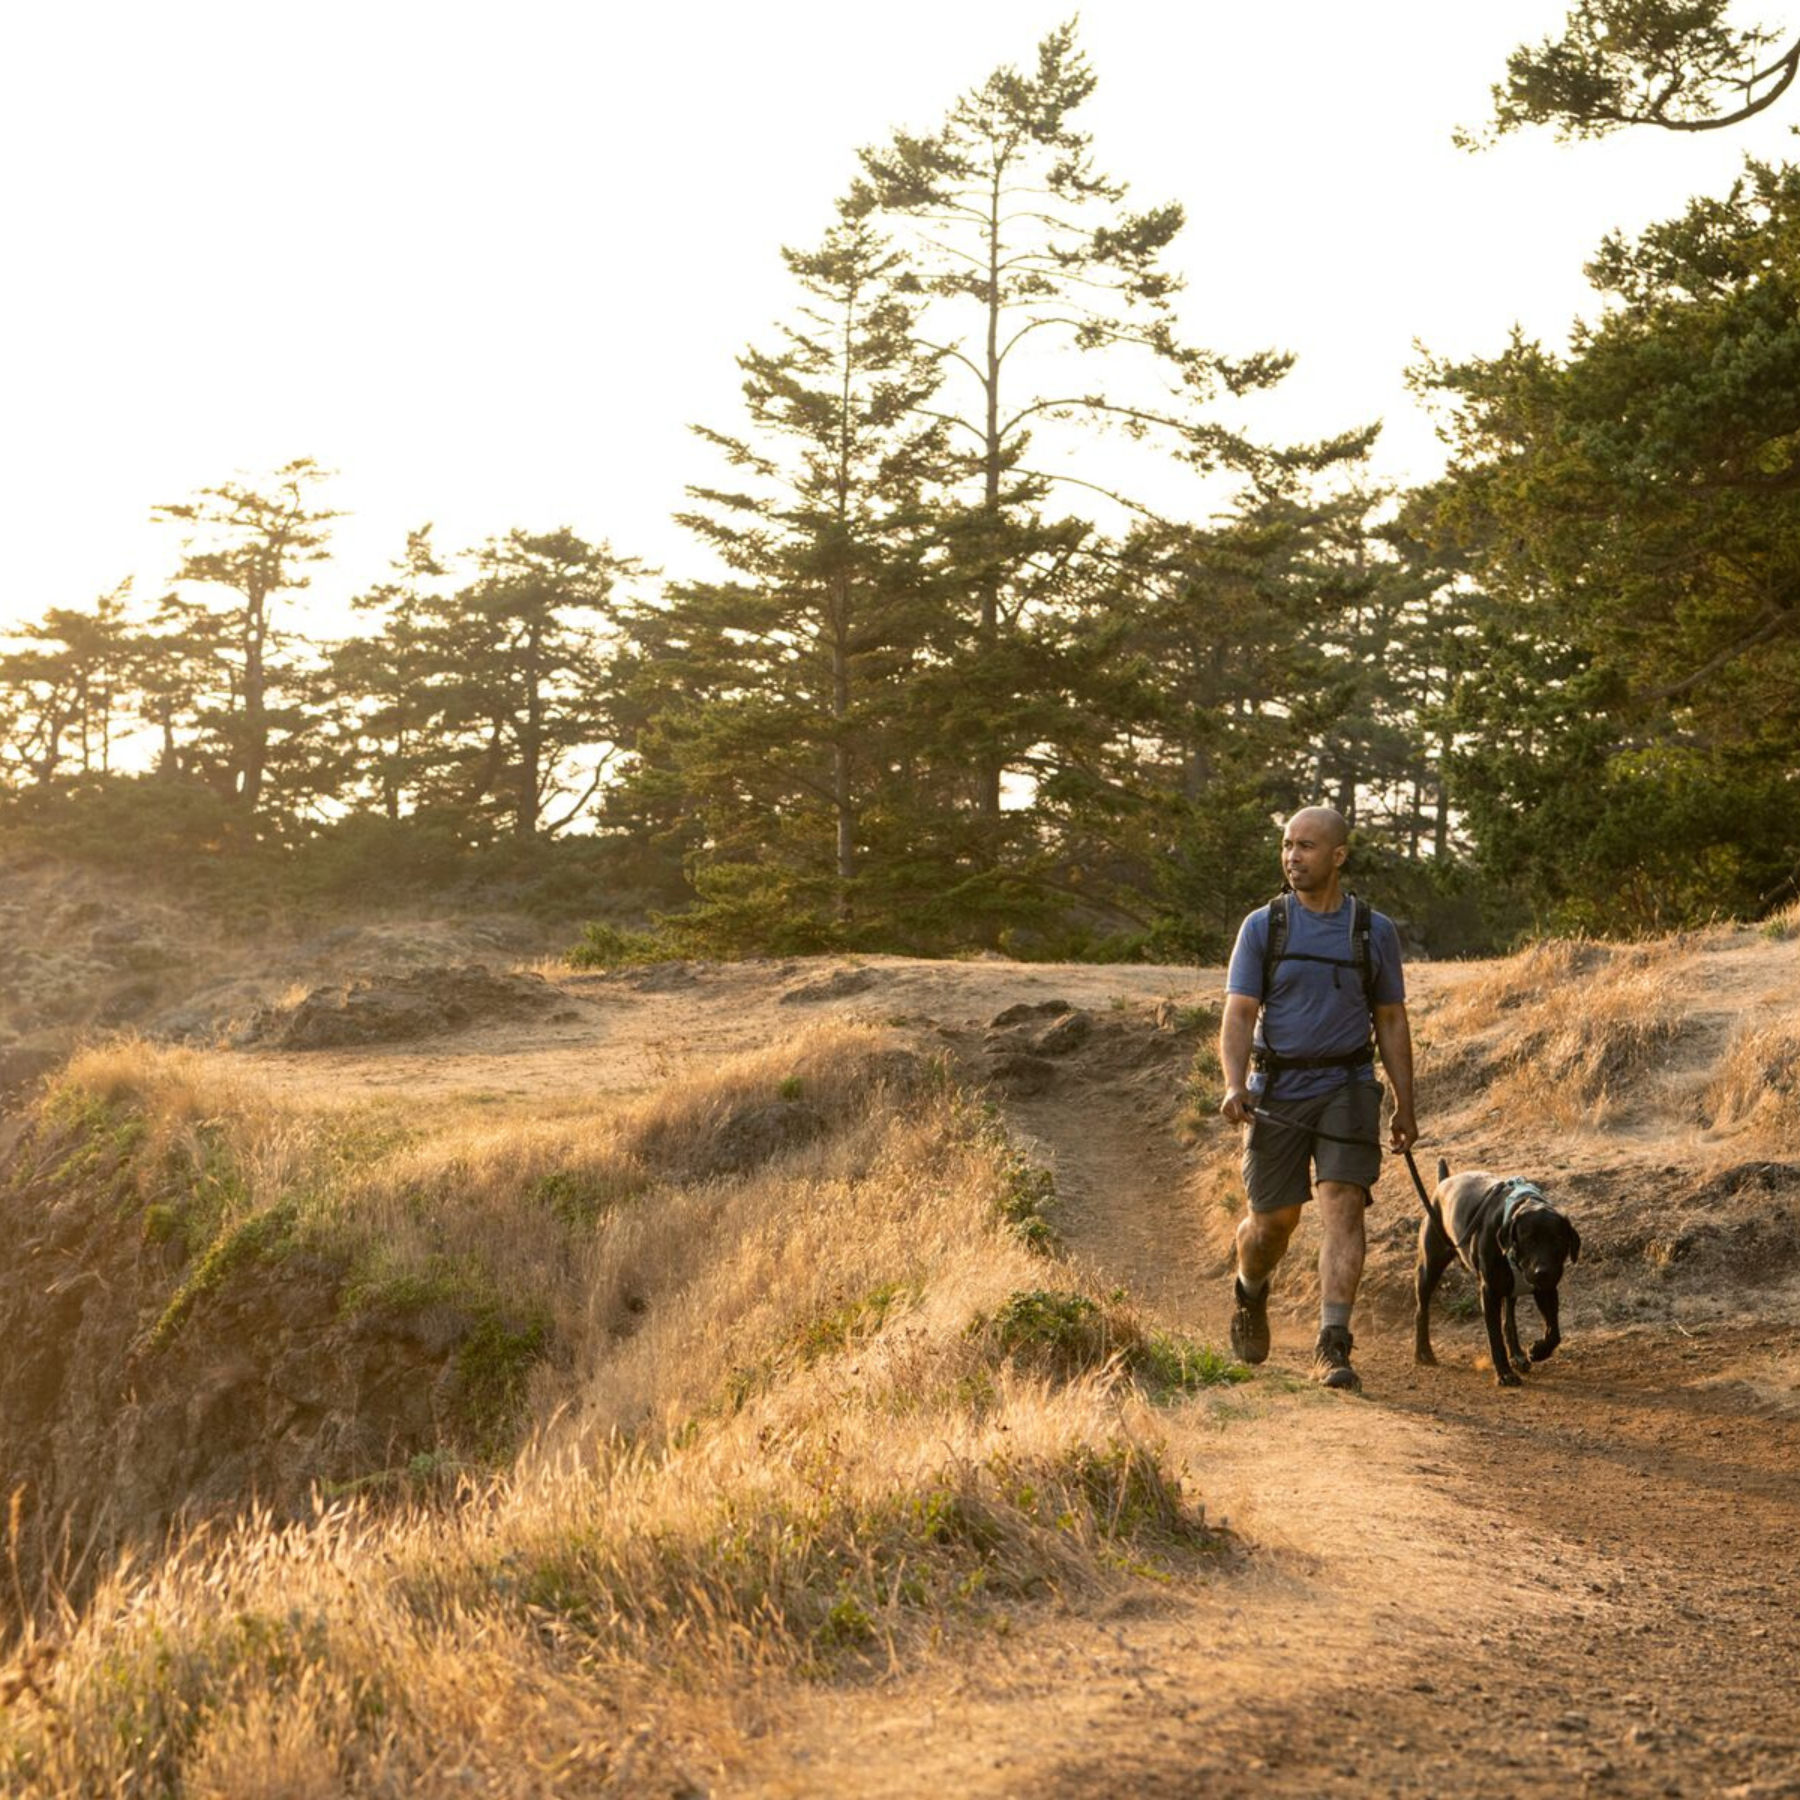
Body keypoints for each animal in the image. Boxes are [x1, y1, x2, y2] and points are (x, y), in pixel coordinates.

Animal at [1411, 1159, 1584, 1382]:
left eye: (1557, 1241)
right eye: (1529, 1240)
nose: (1542, 1272)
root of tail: (1444, 1181)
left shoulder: (1546, 1289)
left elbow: (1554, 1332)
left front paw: (1538, 1350)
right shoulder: (1490, 1292)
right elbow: (1495, 1338)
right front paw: (1505, 1373)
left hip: (1510, 1288)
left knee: (1508, 1321)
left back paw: (1517, 1356)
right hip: (1429, 1268)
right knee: (1421, 1311)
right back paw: (1423, 1352)